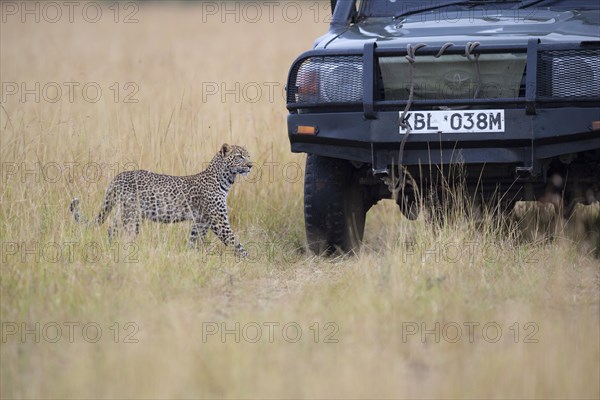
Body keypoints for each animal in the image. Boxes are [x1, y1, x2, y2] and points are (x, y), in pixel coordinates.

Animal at [69, 143, 253, 256]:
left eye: (248, 156)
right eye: (239, 156)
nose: (251, 165)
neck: (226, 179)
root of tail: (118, 176)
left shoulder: (201, 221)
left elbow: (194, 240)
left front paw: (191, 255)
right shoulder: (218, 221)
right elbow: (235, 242)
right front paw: (249, 260)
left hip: (125, 213)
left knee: (111, 230)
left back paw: (112, 249)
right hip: (131, 215)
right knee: (122, 233)